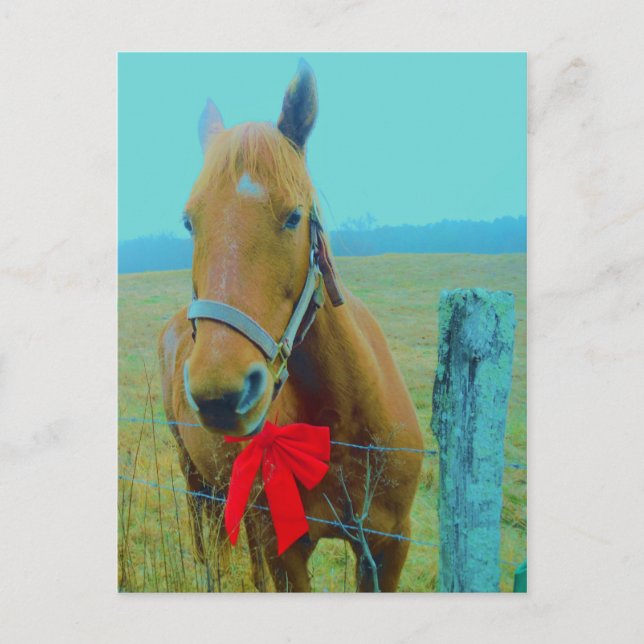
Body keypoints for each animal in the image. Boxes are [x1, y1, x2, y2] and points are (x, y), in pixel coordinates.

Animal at [158, 60, 423, 592]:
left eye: (294, 217)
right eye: (189, 223)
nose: (220, 395)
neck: (342, 425)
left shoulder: (389, 546)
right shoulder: (287, 552)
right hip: (195, 477)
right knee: (208, 543)